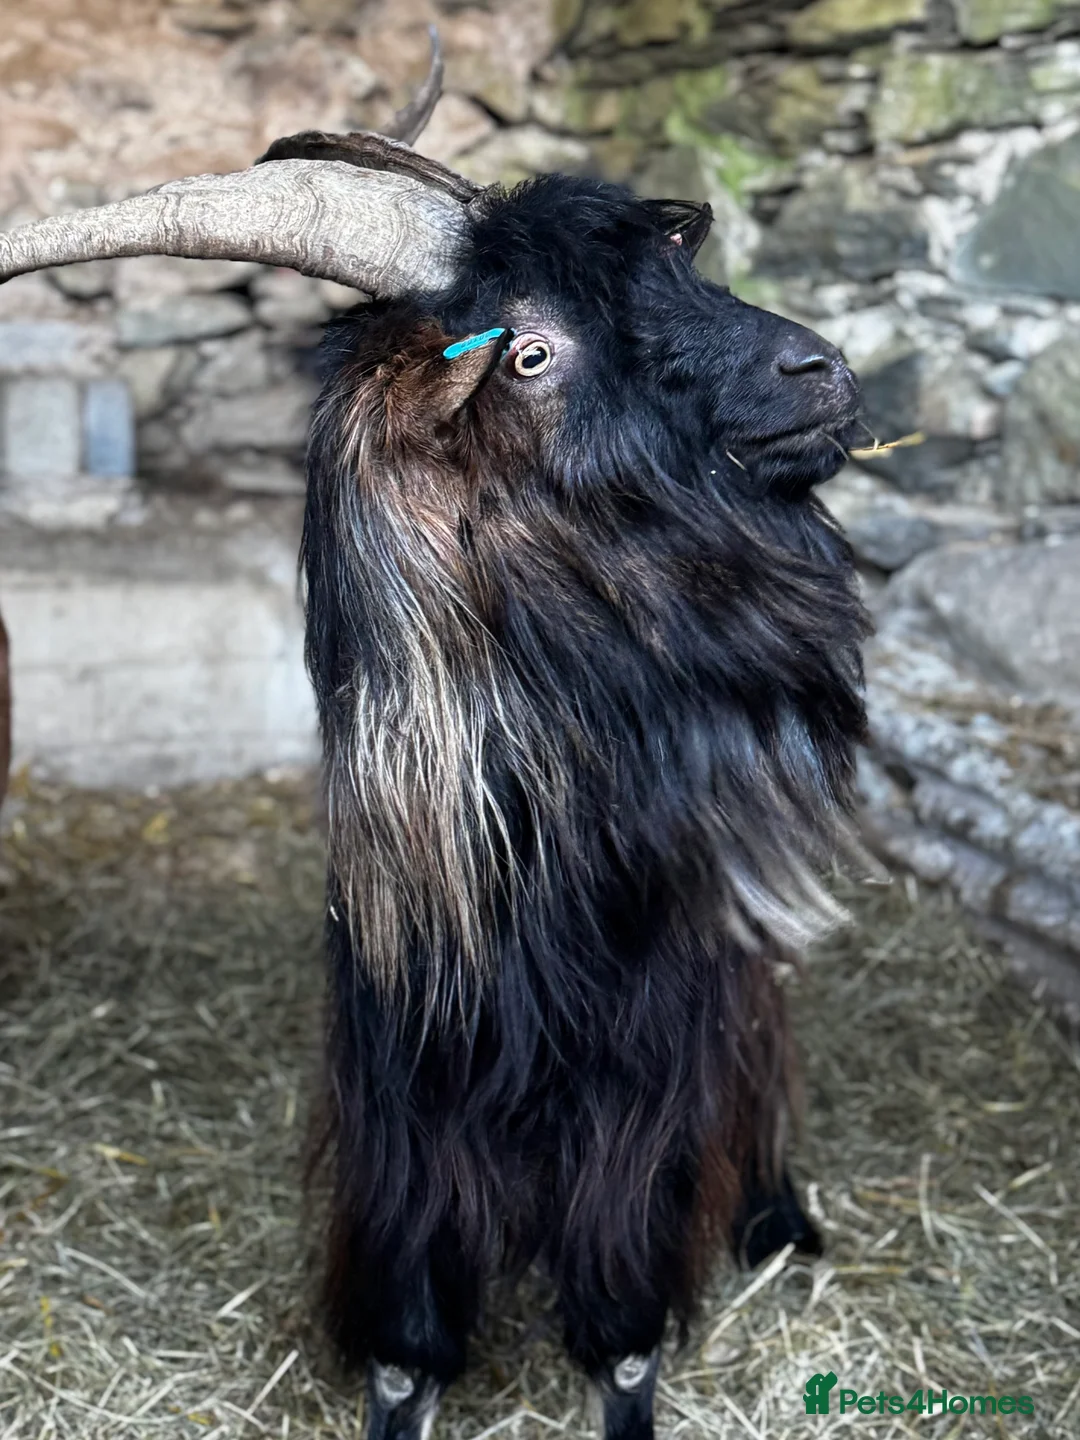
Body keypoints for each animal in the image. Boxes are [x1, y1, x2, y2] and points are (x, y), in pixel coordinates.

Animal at [0, 38, 869, 1440]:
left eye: (678, 271)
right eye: (527, 352)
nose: (821, 372)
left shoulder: (641, 1097)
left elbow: (625, 1333)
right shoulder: (404, 1111)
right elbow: (407, 1345)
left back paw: (778, 1218)